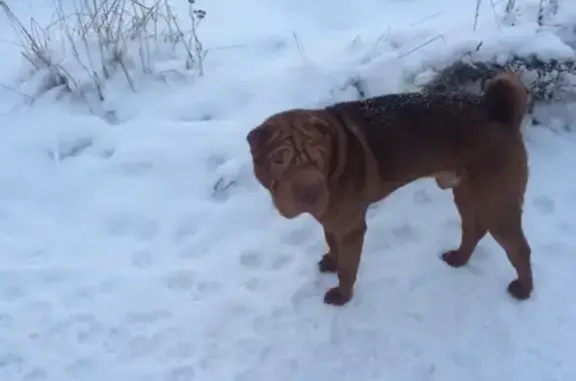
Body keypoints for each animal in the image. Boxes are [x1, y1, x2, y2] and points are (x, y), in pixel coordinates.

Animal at [245, 71, 532, 306]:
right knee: (473, 229)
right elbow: (331, 242)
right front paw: (331, 260)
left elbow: (347, 268)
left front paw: (342, 296)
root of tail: (497, 112)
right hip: (465, 192)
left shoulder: (350, 227)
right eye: (279, 159)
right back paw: (459, 258)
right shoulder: (332, 219)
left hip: (497, 201)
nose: (311, 192)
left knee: (519, 248)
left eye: (319, 157)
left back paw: (523, 290)